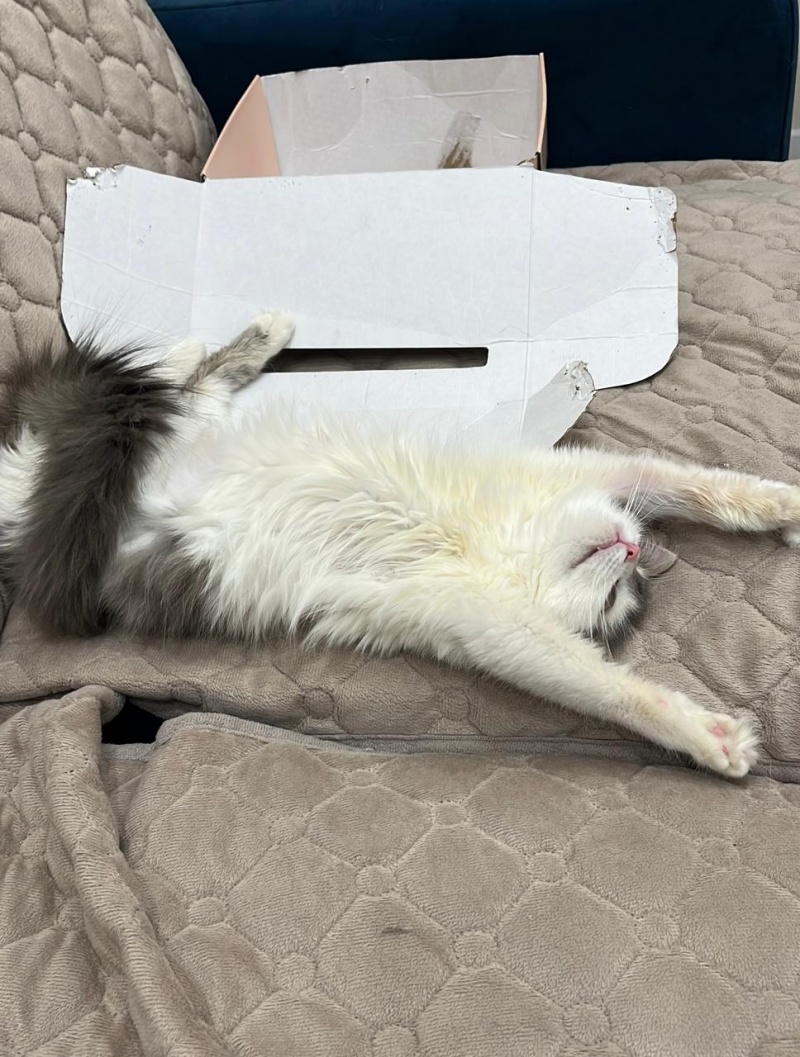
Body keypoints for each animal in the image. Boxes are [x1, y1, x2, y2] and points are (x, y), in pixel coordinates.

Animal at [3, 310, 799, 778]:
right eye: (617, 599)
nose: (634, 555)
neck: (494, 540)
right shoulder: (558, 522)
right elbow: (618, 681)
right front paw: (713, 739)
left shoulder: (486, 613)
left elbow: (703, 493)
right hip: (74, 467)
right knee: (165, 379)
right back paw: (222, 339)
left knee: (187, 382)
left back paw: (258, 332)